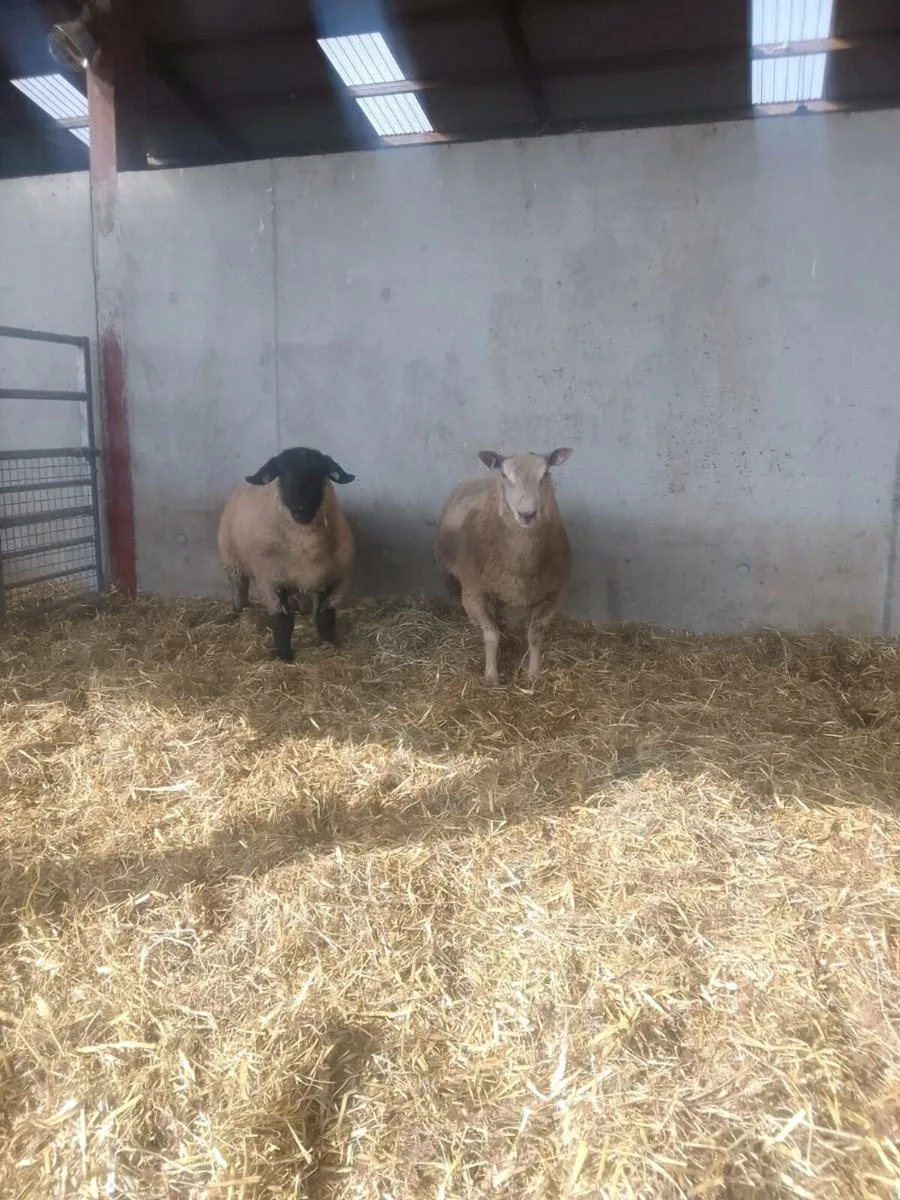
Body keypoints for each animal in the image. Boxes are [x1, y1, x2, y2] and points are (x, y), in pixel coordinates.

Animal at [217, 446, 356, 661]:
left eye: (321, 472)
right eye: (281, 473)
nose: (301, 510)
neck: (305, 546)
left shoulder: (336, 580)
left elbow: (325, 616)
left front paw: (327, 644)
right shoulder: (271, 581)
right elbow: (282, 621)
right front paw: (283, 655)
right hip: (231, 559)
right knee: (239, 587)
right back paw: (238, 612)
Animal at [435, 448, 573, 685]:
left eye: (545, 473)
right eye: (504, 475)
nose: (527, 514)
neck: (521, 566)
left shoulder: (552, 595)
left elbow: (535, 635)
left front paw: (533, 674)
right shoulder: (475, 592)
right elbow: (491, 635)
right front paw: (491, 676)